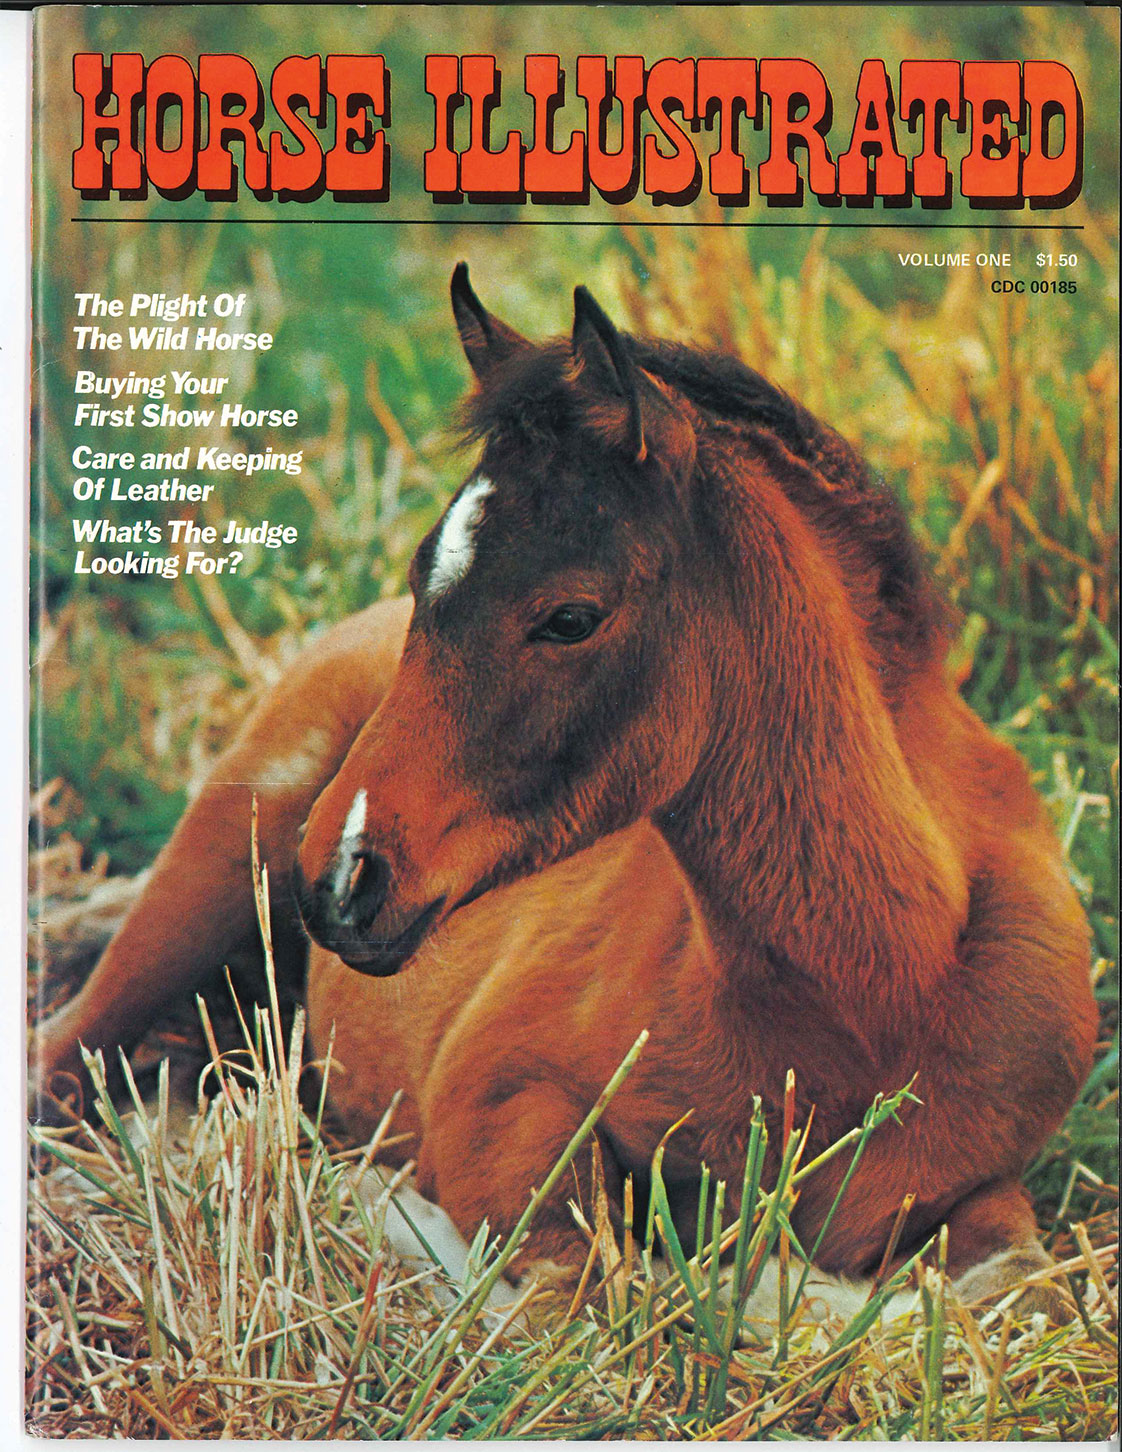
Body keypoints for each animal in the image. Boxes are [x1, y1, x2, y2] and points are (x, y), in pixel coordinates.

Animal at [32, 264, 1097, 1306]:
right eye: (423, 579)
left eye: (572, 617)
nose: (339, 879)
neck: (871, 1001)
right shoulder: (498, 1093)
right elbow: (581, 1284)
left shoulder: (980, 1185)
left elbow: (1020, 1289)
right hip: (222, 853)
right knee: (62, 1056)